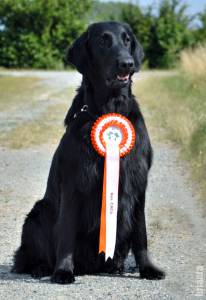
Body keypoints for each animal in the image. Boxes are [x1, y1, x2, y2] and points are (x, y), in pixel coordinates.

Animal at [12, 21, 165, 284]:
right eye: (103, 41)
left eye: (127, 40)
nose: (127, 63)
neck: (109, 108)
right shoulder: (74, 183)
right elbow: (66, 234)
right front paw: (63, 271)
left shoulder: (138, 183)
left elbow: (141, 234)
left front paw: (148, 268)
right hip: (37, 213)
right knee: (26, 256)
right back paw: (41, 268)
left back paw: (115, 266)